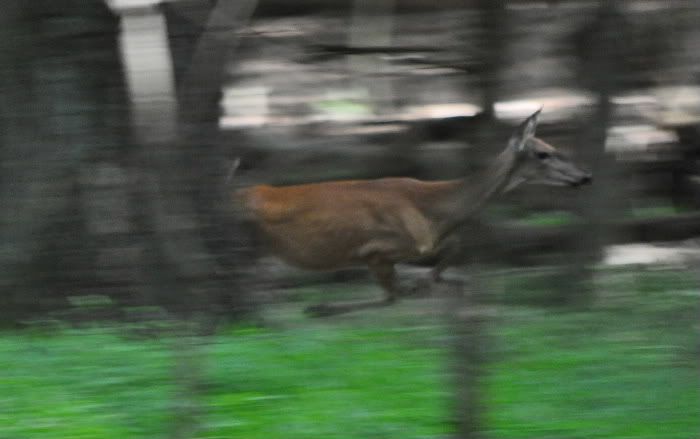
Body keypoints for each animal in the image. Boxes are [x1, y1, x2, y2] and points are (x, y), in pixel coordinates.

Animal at [235, 109, 591, 317]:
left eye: (553, 148)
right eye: (544, 154)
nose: (585, 177)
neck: (433, 210)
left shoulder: (417, 245)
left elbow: (452, 254)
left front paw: (435, 281)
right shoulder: (376, 248)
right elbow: (393, 295)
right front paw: (320, 307)